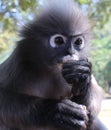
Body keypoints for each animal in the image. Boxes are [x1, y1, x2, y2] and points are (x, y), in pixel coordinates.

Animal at [0, 0, 107, 129]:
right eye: (59, 40)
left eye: (78, 42)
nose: (71, 52)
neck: (50, 69)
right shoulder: (20, 58)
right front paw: (55, 111)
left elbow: (92, 112)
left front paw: (82, 75)